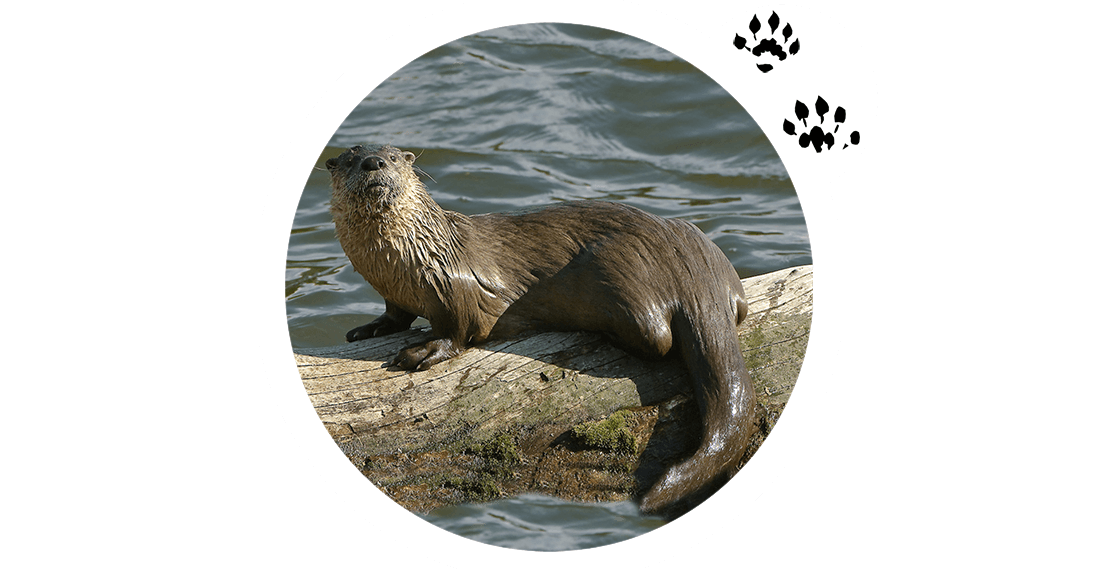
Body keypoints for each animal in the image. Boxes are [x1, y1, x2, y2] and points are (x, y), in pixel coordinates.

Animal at [325, 143, 758, 513]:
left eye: (392, 156)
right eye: (350, 158)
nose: (373, 163)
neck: (411, 253)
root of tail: (693, 271)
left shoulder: (454, 284)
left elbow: (459, 329)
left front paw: (425, 351)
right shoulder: (391, 292)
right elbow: (395, 314)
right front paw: (371, 328)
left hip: (622, 274)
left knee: (658, 339)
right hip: (702, 248)